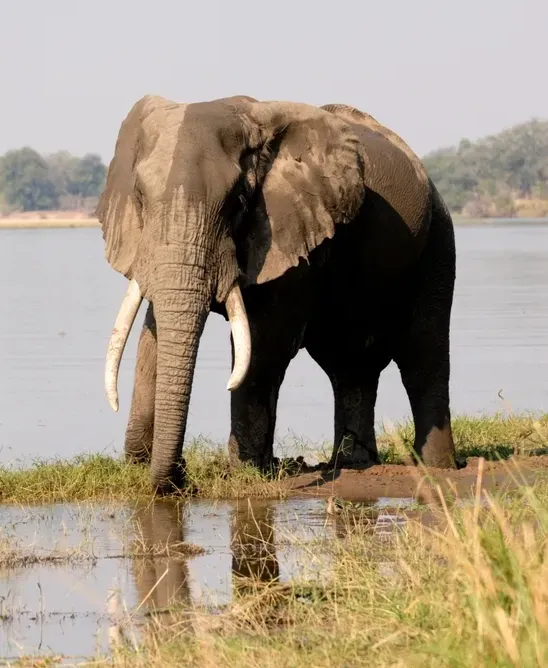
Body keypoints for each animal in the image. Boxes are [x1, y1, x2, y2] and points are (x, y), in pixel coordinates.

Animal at [98, 94, 456, 493]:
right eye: (140, 198)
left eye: (238, 201)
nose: (183, 479)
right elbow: (153, 330)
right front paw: (141, 465)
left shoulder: (291, 229)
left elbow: (266, 341)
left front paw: (245, 472)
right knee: (349, 366)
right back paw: (353, 463)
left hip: (438, 241)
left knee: (422, 357)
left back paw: (437, 467)